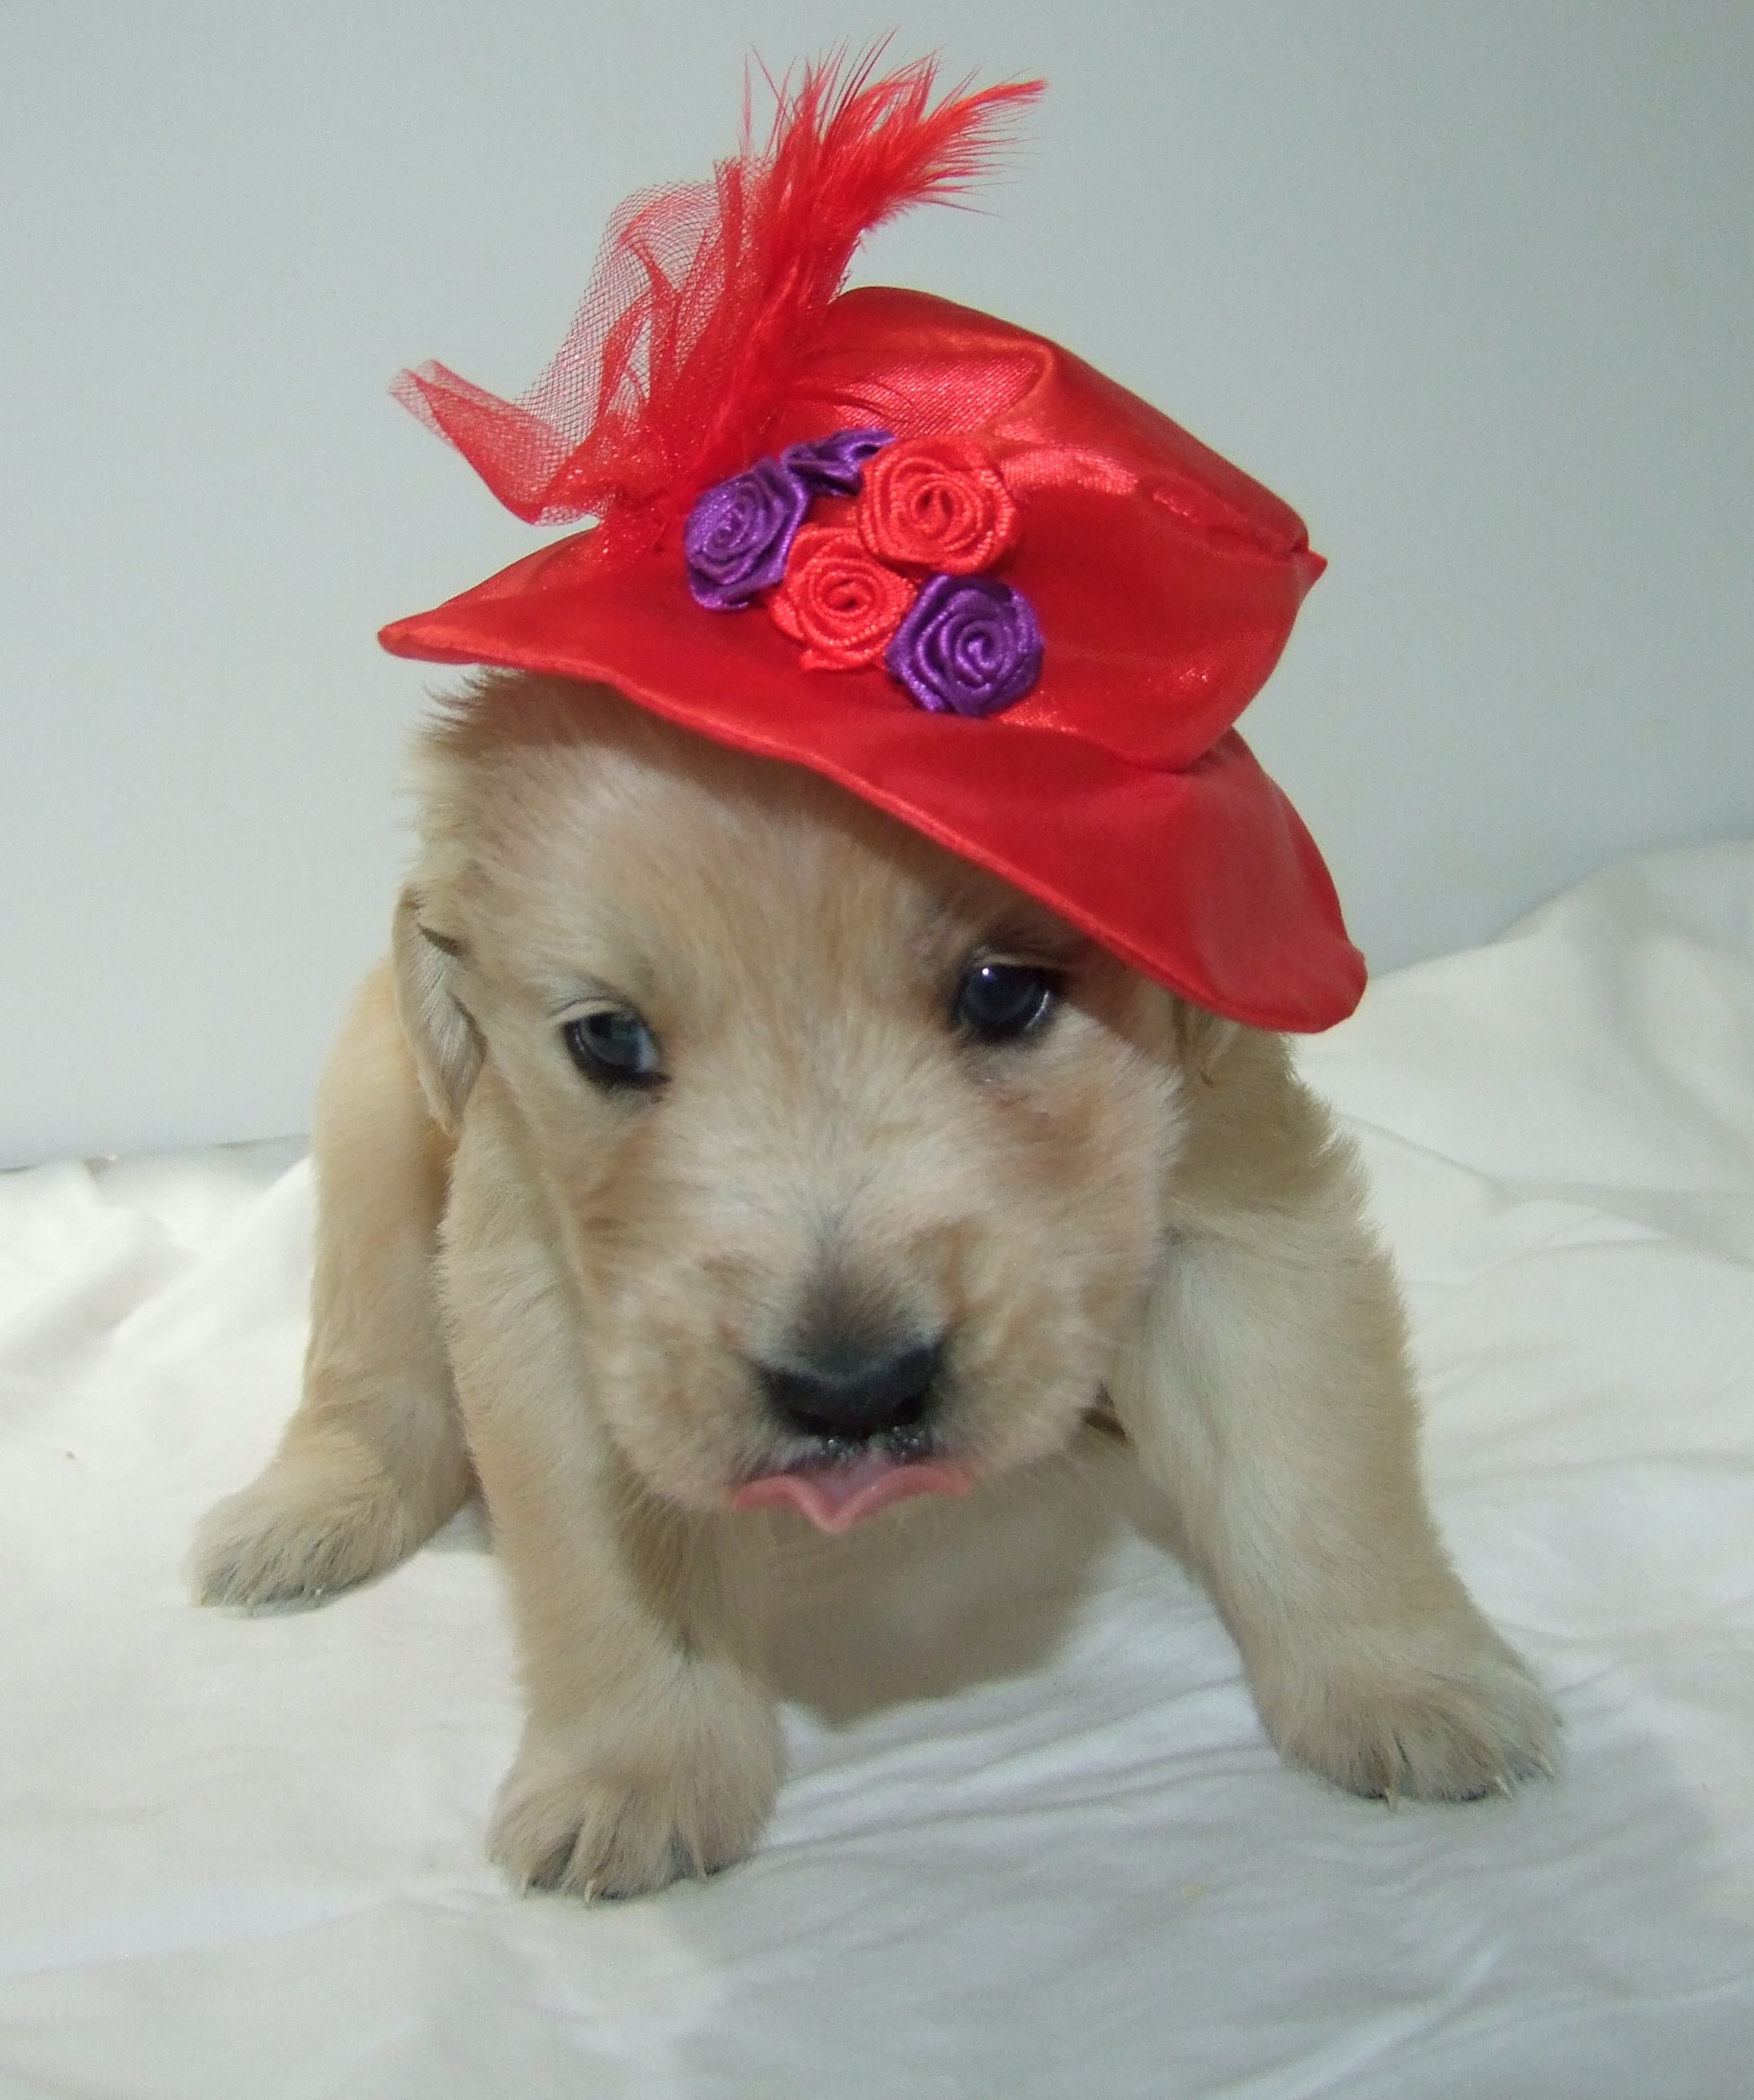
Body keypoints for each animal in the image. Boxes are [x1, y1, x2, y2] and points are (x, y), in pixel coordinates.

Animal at [195, 670, 1556, 1898]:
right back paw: (304, 1513)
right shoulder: (549, 1284)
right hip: (375, 1126)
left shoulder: (1238, 1210)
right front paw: (638, 1770)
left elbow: (1313, 1474)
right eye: (608, 1037)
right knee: (370, 1375)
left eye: (1004, 989)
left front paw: (1403, 1678)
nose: (854, 1393)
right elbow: (614, 1568)